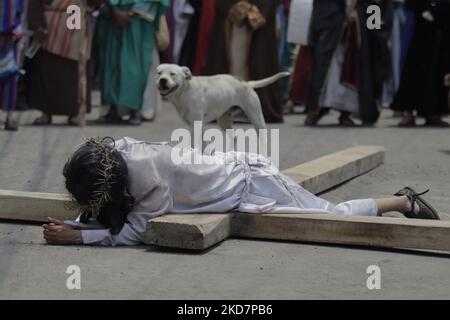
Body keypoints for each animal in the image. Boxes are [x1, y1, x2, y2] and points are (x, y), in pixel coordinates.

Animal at [155, 64, 288, 151]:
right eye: (159, 73)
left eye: (173, 74)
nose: (162, 80)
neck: (184, 91)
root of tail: (246, 83)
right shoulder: (196, 125)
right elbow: (202, 144)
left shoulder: (196, 125)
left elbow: (197, 144)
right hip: (224, 121)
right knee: (234, 137)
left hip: (256, 118)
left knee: (263, 139)